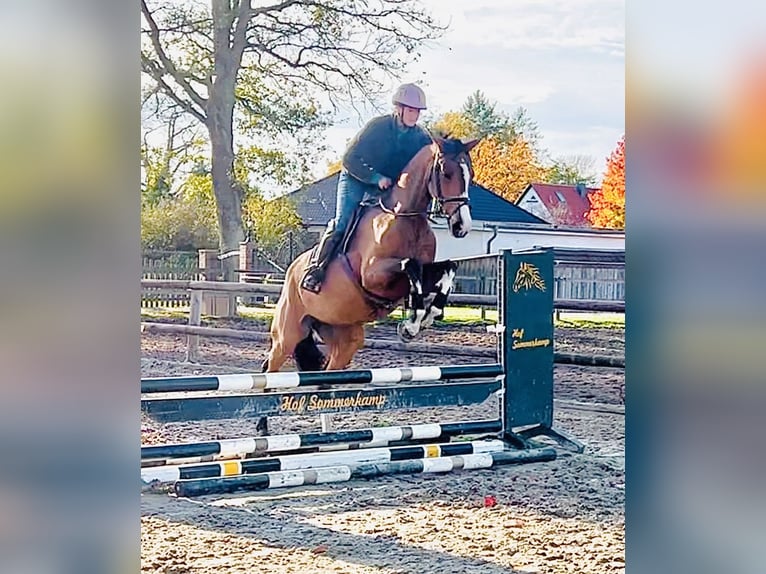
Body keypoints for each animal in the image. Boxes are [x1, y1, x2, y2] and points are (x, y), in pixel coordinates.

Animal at [262, 136, 480, 375]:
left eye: (470, 175)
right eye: (446, 172)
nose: (462, 226)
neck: (406, 218)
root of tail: (291, 270)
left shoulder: (428, 268)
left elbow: (448, 268)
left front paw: (428, 314)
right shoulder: (373, 276)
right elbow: (411, 266)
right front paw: (411, 324)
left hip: (344, 336)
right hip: (287, 335)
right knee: (272, 364)